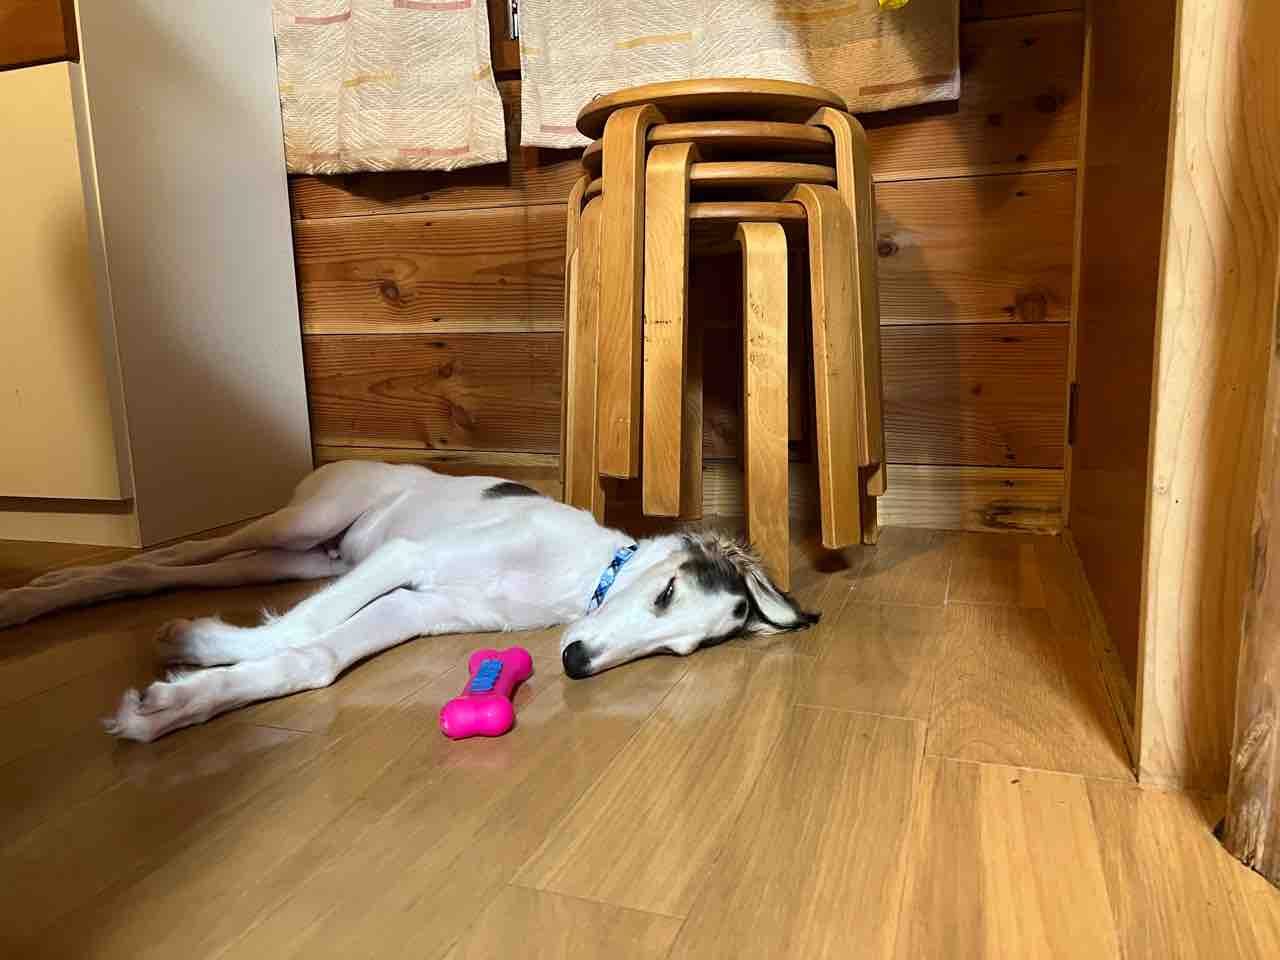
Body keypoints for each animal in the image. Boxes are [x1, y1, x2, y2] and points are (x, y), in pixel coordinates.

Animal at [0, 460, 817, 742]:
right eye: (667, 590)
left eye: (679, 649)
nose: (578, 662)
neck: (573, 572)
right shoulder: (407, 560)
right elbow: (303, 626)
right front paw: (200, 653)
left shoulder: (419, 609)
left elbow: (315, 655)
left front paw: (180, 700)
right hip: (305, 522)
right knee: (174, 553)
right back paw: (36, 594)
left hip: (301, 557)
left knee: (189, 569)